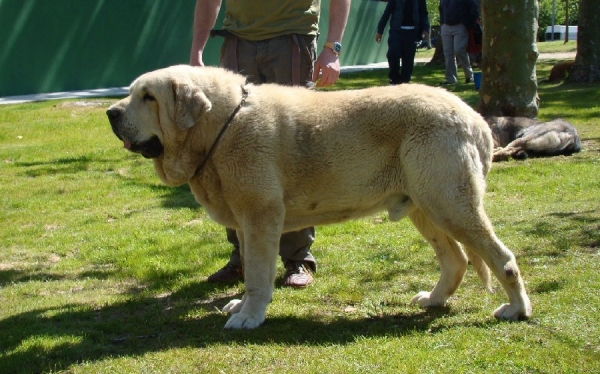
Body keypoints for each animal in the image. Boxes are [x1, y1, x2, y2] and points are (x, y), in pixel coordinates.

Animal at [105, 65, 532, 328]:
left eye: (149, 97)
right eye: (132, 94)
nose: (111, 112)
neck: (221, 125)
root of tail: (474, 117)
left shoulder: (260, 217)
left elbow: (257, 275)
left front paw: (249, 316)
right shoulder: (245, 223)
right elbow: (250, 268)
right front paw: (242, 306)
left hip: (450, 204)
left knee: (502, 258)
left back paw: (517, 309)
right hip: (426, 207)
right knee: (456, 259)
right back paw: (434, 300)